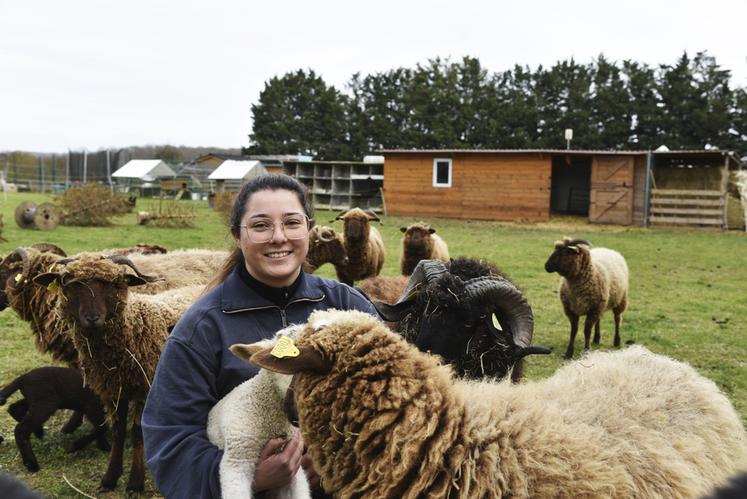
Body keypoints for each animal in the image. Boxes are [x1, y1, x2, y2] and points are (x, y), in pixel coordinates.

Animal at [32, 256, 202, 494]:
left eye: (112, 283)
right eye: (71, 284)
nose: (92, 318)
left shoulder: (145, 388)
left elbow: (137, 432)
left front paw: (135, 483)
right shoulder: (114, 391)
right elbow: (118, 432)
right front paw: (110, 478)